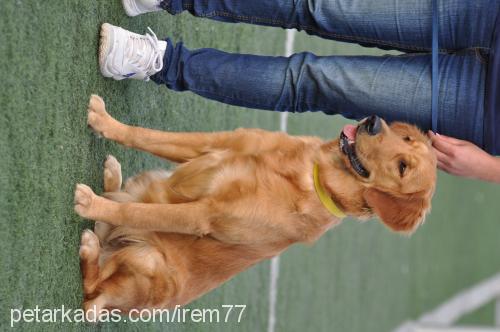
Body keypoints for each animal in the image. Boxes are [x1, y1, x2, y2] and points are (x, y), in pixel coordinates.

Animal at [75, 94, 438, 318]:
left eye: (403, 167)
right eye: (406, 138)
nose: (374, 121)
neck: (308, 173)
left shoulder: (205, 214)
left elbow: (139, 212)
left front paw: (90, 203)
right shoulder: (214, 143)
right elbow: (146, 135)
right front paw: (104, 121)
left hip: (148, 263)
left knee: (91, 289)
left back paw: (92, 239)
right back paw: (112, 176)